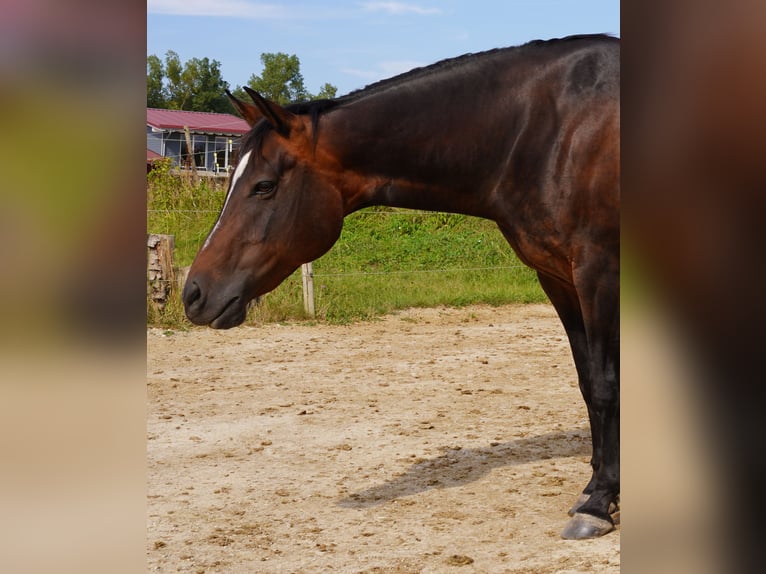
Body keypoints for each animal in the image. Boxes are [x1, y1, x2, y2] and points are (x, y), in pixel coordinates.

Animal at [183, 35, 620, 540]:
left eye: (264, 186)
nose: (194, 294)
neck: (549, 131)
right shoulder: (557, 278)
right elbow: (587, 382)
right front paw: (593, 488)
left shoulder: (597, 272)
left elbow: (605, 384)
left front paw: (599, 504)